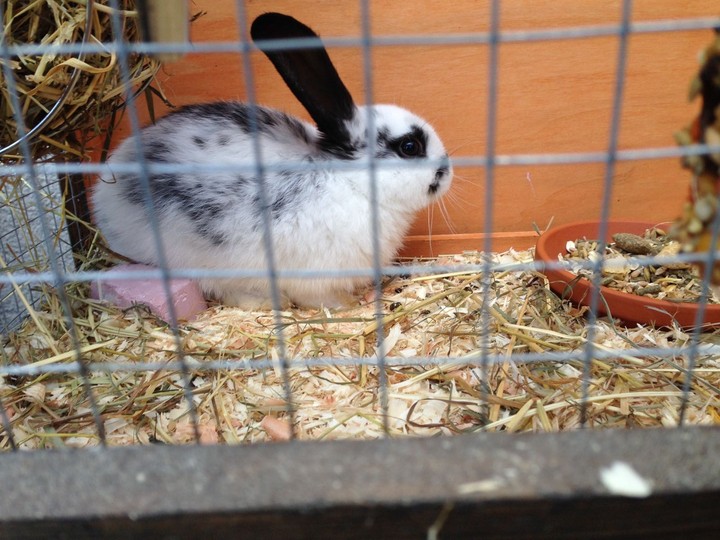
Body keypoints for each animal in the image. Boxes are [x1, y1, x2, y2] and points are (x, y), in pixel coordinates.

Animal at [91, 12, 453, 309]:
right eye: (409, 146)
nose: (447, 169)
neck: (351, 181)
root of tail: (104, 200)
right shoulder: (315, 274)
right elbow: (319, 298)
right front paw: (346, 306)